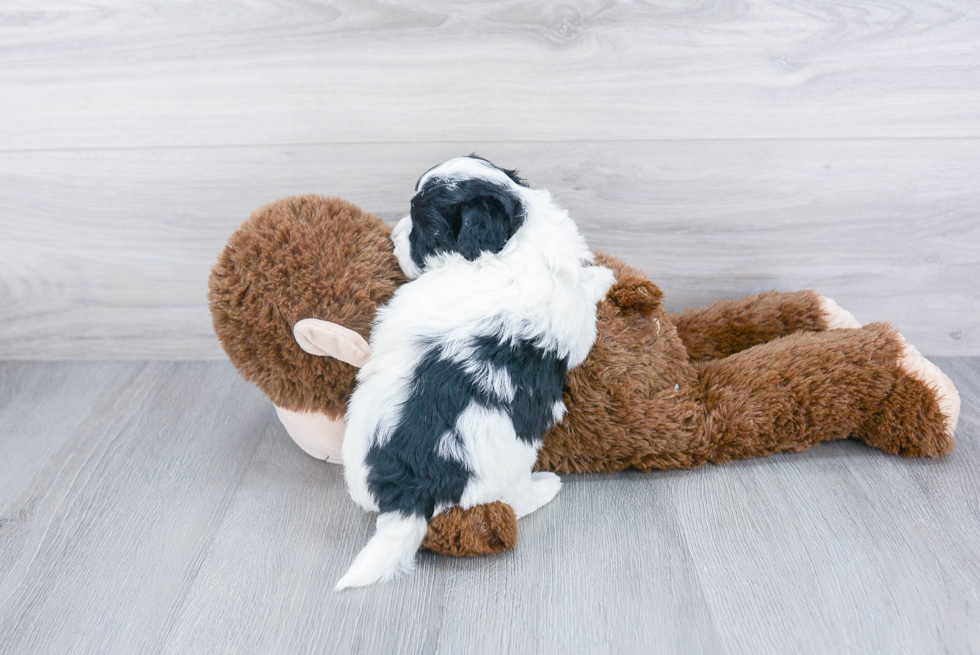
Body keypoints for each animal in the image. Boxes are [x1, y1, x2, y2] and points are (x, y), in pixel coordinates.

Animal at [336, 155, 612, 588]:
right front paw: (601, 277)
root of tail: (411, 492)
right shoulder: (573, 318)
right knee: (513, 501)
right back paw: (546, 486)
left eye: (425, 227)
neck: (511, 243)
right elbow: (583, 295)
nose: (392, 238)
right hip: (509, 465)